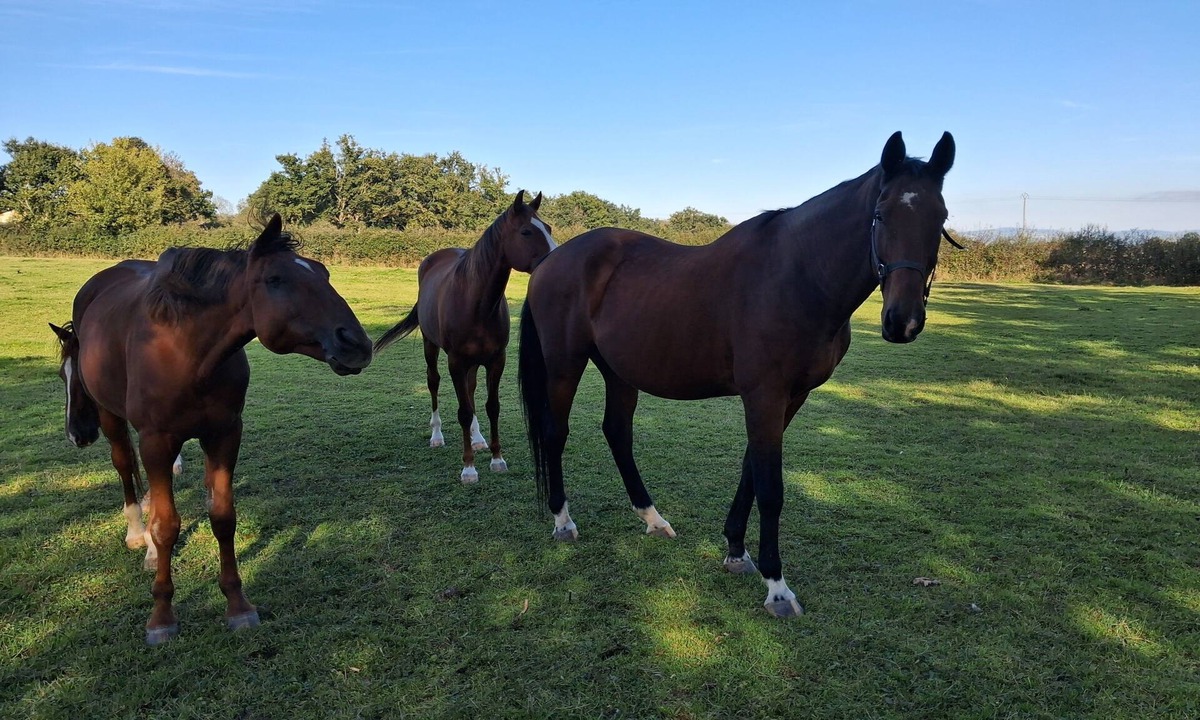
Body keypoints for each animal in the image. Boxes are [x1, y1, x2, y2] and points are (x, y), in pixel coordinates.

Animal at [50, 214, 373, 644]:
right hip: (111, 417)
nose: (356, 343)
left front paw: (237, 605)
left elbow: (222, 516)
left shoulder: (224, 435)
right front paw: (162, 617)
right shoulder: (156, 441)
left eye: (324, 273)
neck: (188, 350)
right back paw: (137, 534)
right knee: (124, 465)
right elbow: (166, 526)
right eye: (275, 279)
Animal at [373, 190, 557, 483]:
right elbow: (463, 411)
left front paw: (496, 458)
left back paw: (478, 438)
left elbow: (491, 406)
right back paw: (437, 435)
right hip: (431, 347)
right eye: (526, 231)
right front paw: (469, 468)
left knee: (470, 390)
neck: (477, 303)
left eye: (548, 228)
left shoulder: (496, 360)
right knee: (434, 382)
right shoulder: (456, 361)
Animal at [518, 131, 956, 617]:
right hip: (565, 364)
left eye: (940, 218)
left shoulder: (790, 397)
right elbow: (771, 488)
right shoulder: (764, 395)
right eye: (880, 215)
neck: (797, 277)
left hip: (618, 371)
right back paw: (563, 521)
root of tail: (550, 262)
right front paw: (777, 587)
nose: (903, 322)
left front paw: (735, 551)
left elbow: (750, 471)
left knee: (617, 432)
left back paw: (653, 518)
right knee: (556, 433)